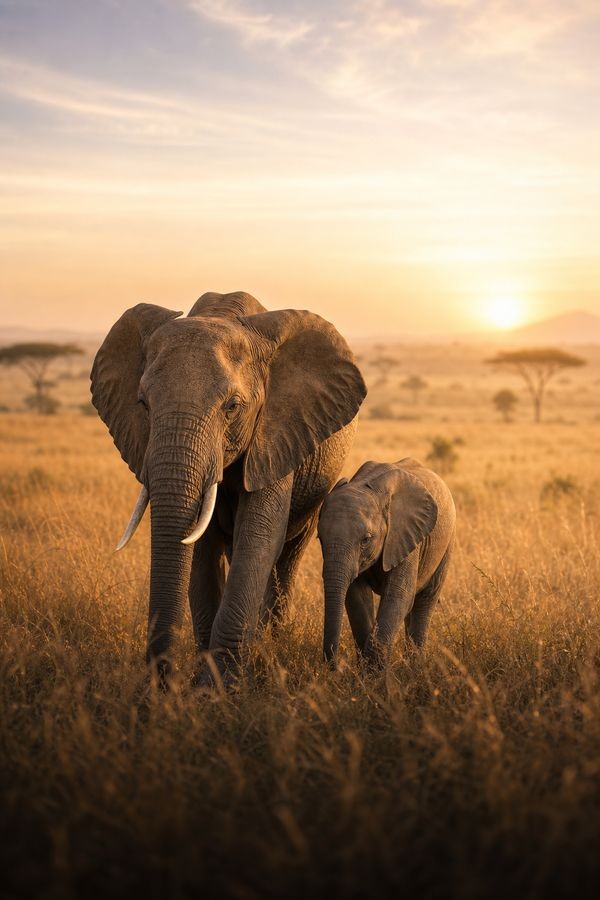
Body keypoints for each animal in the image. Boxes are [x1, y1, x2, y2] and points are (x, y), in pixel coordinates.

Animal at [91, 291, 367, 685]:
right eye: (142, 404)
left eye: (233, 406)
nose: (163, 683)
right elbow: (199, 546)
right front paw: (203, 683)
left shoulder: (276, 433)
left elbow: (259, 537)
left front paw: (220, 688)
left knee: (287, 555)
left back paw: (269, 648)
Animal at [317, 458, 455, 666]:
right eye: (320, 539)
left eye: (366, 540)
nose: (334, 665)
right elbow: (357, 597)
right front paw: (366, 669)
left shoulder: (405, 535)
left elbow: (398, 596)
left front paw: (374, 671)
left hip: (446, 543)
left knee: (425, 599)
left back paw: (415, 667)